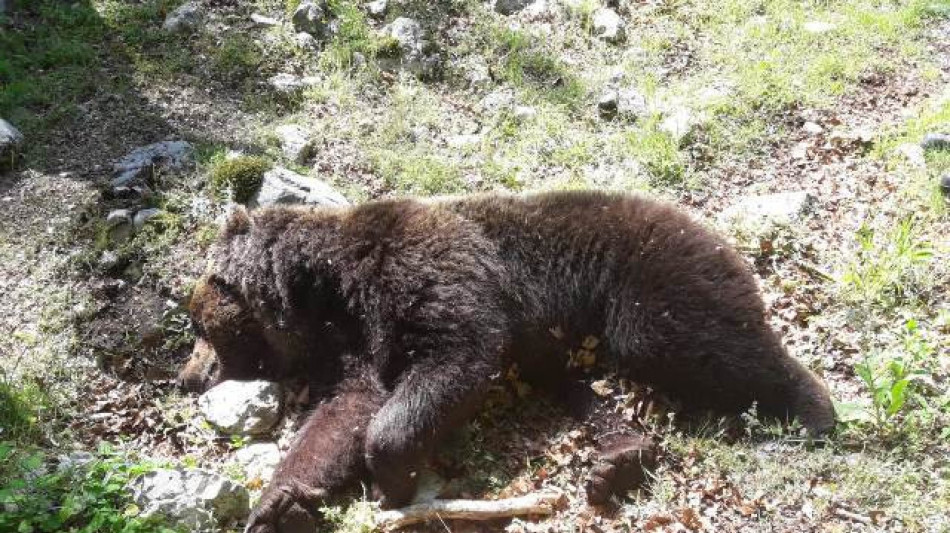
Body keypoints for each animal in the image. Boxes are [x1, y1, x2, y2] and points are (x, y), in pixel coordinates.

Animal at [177, 191, 832, 528]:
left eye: (201, 328)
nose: (187, 377)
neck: (331, 290)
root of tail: (715, 233)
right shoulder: (358, 347)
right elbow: (344, 416)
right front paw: (279, 501)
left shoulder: (433, 275)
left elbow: (457, 357)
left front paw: (393, 479)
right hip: (566, 345)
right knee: (580, 390)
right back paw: (617, 461)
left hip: (649, 288)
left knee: (703, 345)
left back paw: (814, 408)